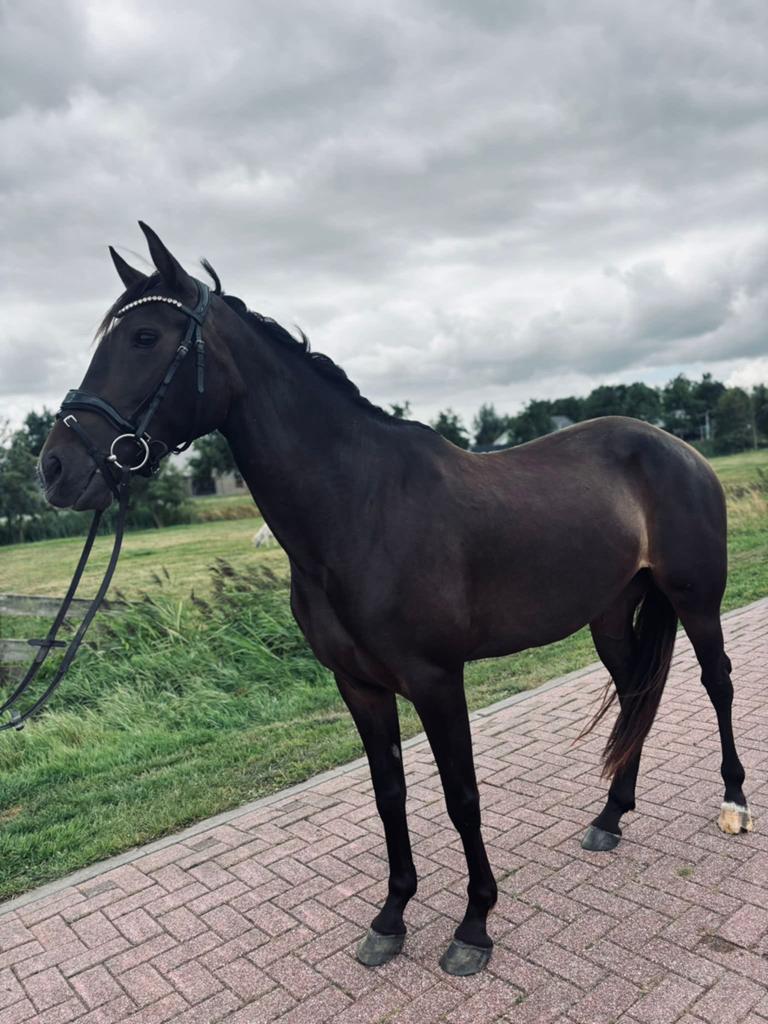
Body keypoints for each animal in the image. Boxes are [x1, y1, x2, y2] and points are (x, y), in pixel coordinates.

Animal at [39, 223, 751, 976]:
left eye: (145, 336)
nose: (55, 467)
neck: (361, 508)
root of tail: (678, 448)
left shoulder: (438, 681)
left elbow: (461, 797)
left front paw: (474, 926)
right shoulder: (360, 686)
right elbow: (389, 795)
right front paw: (391, 916)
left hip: (697, 602)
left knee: (717, 682)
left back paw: (734, 802)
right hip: (611, 617)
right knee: (635, 693)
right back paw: (609, 817)